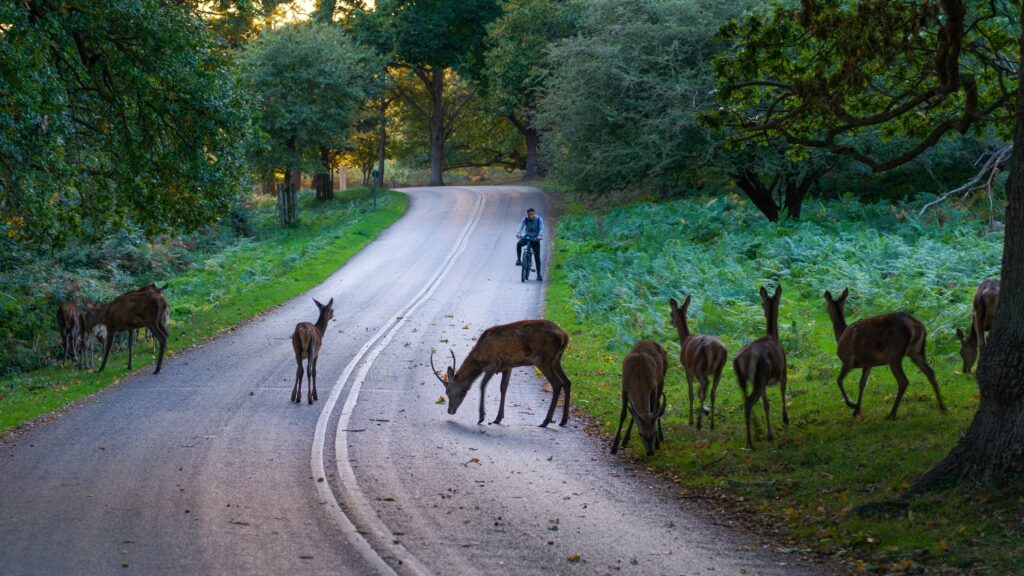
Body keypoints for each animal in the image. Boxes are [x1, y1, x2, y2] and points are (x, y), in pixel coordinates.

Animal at [431, 319, 571, 427]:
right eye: (446, 393)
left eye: (457, 392)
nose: (450, 411)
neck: (479, 358)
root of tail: (565, 336)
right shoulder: (507, 367)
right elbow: (503, 388)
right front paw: (498, 418)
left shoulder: (493, 363)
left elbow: (482, 385)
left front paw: (481, 417)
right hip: (556, 360)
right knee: (567, 381)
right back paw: (563, 421)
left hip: (543, 359)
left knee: (557, 383)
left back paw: (545, 421)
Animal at [669, 296, 727, 430]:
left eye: (671, 313)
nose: (671, 323)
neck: (684, 340)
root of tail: (715, 349)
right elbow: (699, 391)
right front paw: (706, 410)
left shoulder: (687, 368)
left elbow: (692, 393)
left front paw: (692, 420)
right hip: (719, 370)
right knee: (713, 392)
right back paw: (712, 424)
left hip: (699, 367)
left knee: (706, 385)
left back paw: (699, 422)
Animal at [734, 285, 788, 450]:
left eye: (763, 303)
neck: (774, 336)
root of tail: (740, 359)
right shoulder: (784, 370)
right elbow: (782, 392)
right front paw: (785, 418)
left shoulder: (764, 381)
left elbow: (765, 404)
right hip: (759, 378)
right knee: (750, 403)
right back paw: (755, 440)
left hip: (744, 379)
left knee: (745, 401)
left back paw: (753, 434)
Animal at [823, 288, 946, 420]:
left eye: (826, 306)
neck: (841, 334)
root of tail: (915, 325)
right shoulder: (868, 363)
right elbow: (862, 384)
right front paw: (857, 410)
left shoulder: (848, 360)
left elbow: (839, 380)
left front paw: (852, 404)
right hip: (917, 351)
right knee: (930, 372)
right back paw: (943, 407)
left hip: (894, 354)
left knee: (903, 381)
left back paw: (892, 414)